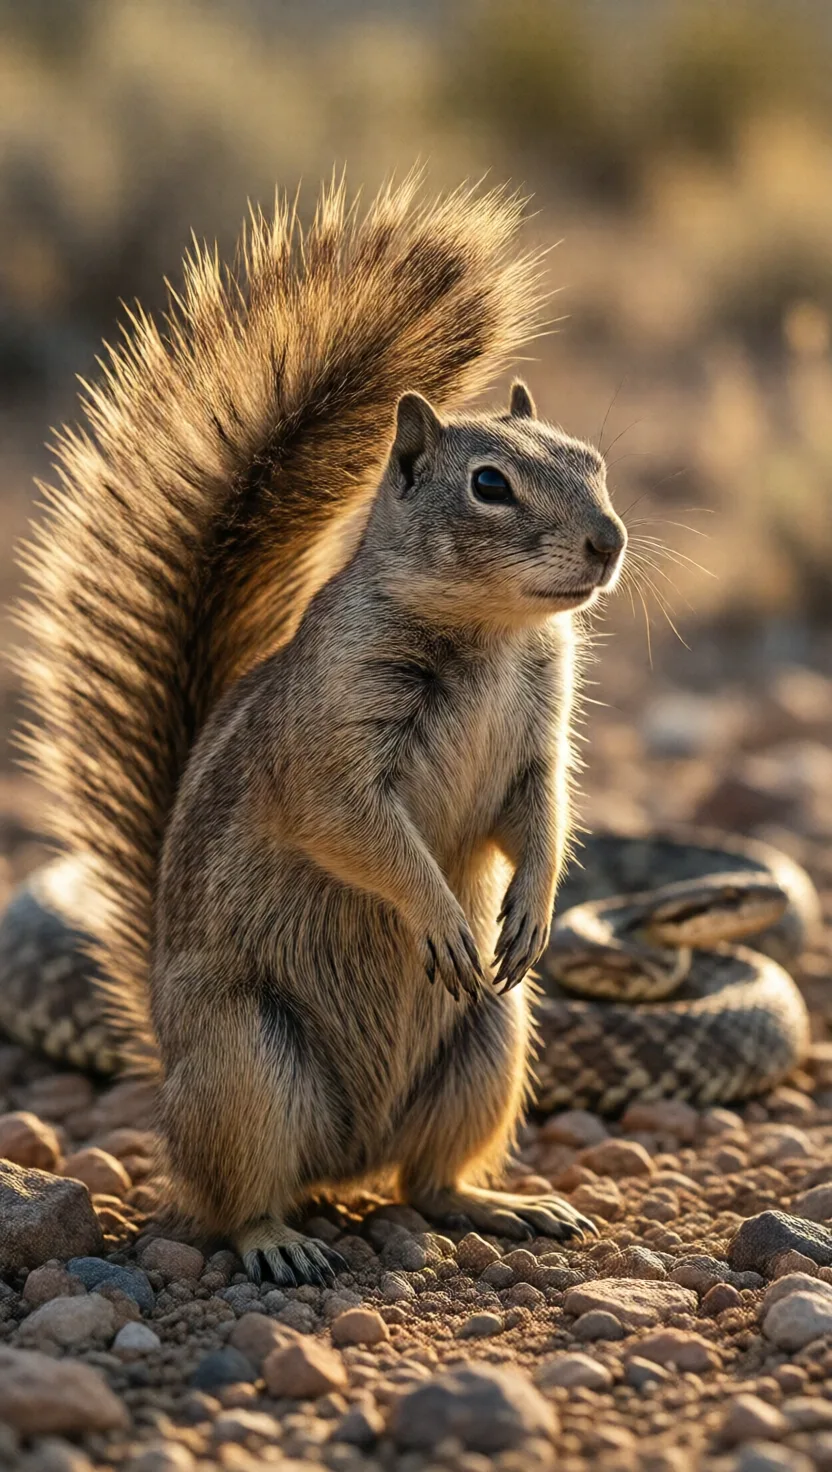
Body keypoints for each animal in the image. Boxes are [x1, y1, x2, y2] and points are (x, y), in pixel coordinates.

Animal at [18, 176, 626, 1285]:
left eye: (591, 460)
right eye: (489, 484)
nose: (609, 541)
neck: (490, 636)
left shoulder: (538, 742)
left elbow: (542, 816)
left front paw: (528, 911)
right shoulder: (332, 749)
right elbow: (356, 828)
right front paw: (440, 915)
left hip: (490, 1041)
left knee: (424, 1180)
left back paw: (502, 1203)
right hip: (249, 1065)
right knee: (235, 1201)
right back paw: (278, 1242)